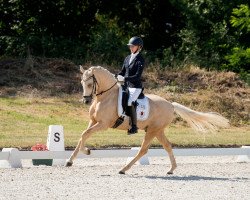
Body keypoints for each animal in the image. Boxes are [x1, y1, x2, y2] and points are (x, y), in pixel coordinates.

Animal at [65, 66, 229, 174]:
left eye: (90, 84)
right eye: (81, 83)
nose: (86, 101)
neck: (105, 97)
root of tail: (171, 105)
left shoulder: (103, 124)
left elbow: (84, 135)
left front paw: (85, 152)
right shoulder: (93, 122)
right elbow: (82, 136)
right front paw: (72, 159)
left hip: (153, 131)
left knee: (143, 149)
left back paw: (124, 169)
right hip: (157, 130)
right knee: (167, 146)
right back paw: (171, 169)